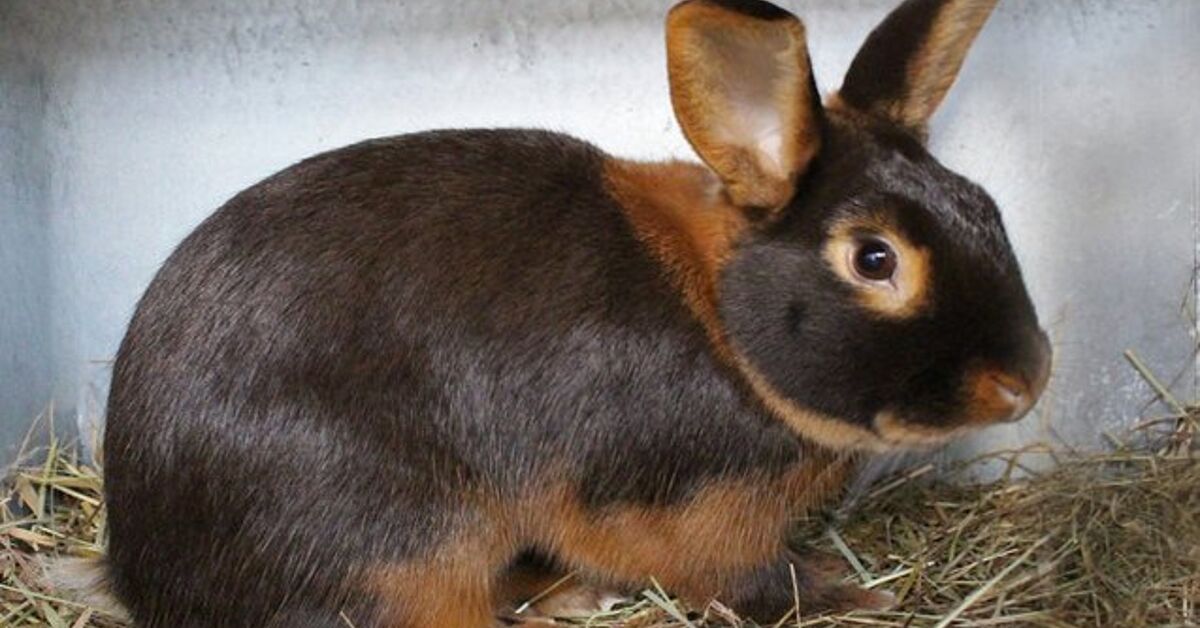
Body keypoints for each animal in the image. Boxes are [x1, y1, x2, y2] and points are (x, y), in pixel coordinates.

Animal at [87, 0, 1052, 625]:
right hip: (408, 548)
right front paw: (856, 595)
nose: (1026, 381)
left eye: (984, 205)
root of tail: (137, 575)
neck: (723, 323)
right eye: (874, 259)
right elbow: (746, 581)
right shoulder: (692, 515)